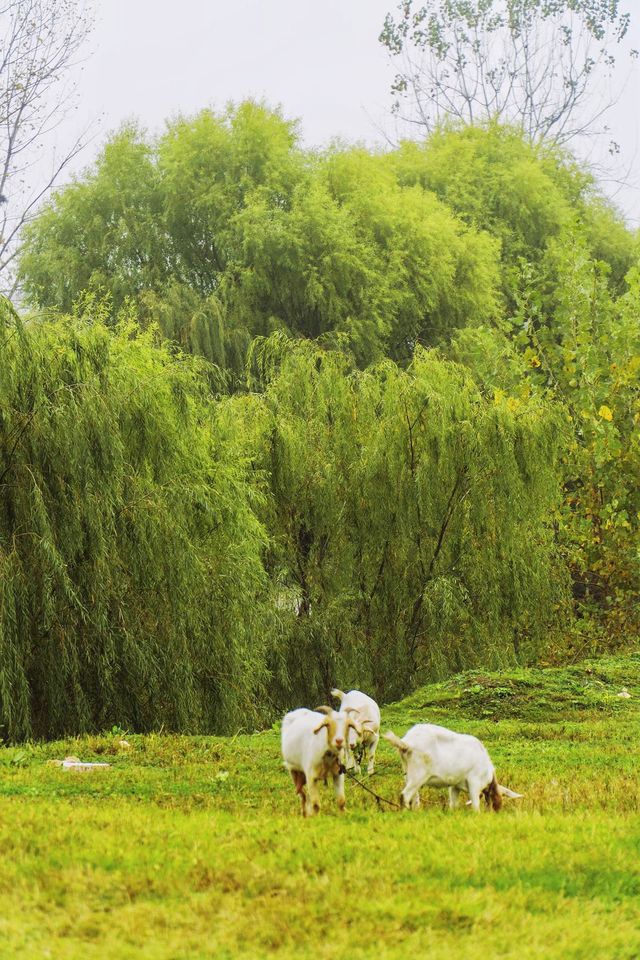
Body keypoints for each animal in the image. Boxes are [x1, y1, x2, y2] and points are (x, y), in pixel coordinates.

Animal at [382, 724, 524, 812]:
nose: (495, 811)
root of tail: (406, 744)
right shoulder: (474, 781)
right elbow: (475, 804)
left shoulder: (455, 786)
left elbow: (453, 804)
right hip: (418, 774)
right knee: (405, 796)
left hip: (408, 774)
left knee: (414, 799)